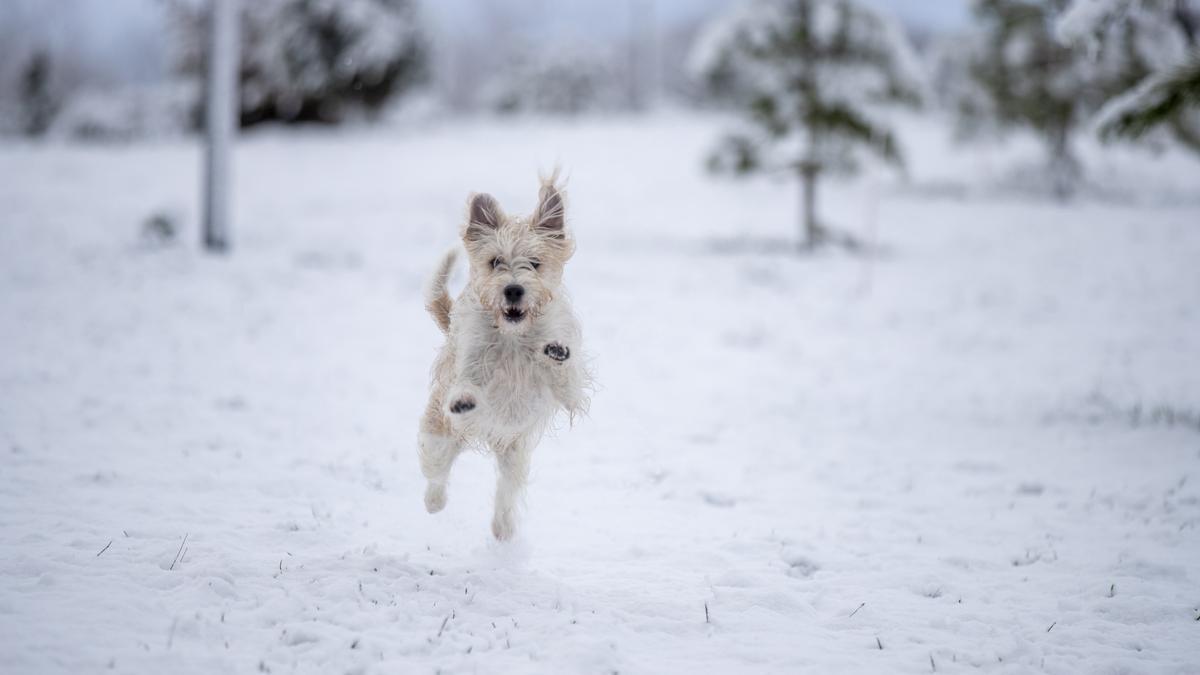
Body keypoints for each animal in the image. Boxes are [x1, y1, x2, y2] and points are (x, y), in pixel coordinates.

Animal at [420, 174, 588, 540]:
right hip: (441, 431)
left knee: (506, 492)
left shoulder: (569, 393)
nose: (513, 289)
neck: (513, 336)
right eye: (496, 261)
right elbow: (467, 381)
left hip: (514, 453)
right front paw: (465, 398)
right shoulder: (468, 359)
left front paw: (555, 352)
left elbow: (566, 379)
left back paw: (503, 528)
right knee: (436, 470)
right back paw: (434, 501)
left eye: (535, 264)